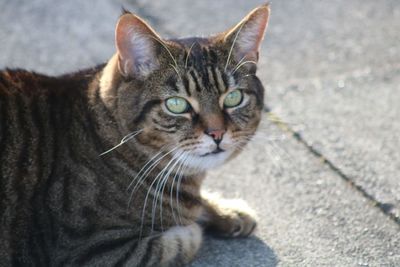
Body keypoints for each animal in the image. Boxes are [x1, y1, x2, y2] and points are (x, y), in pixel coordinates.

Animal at [0, 4, 272, 267]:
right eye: (176, 104)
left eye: (233, 98)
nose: (217, 132)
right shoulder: (87, 250)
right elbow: (177, 242)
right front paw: (195, 223)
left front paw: (228, 211)